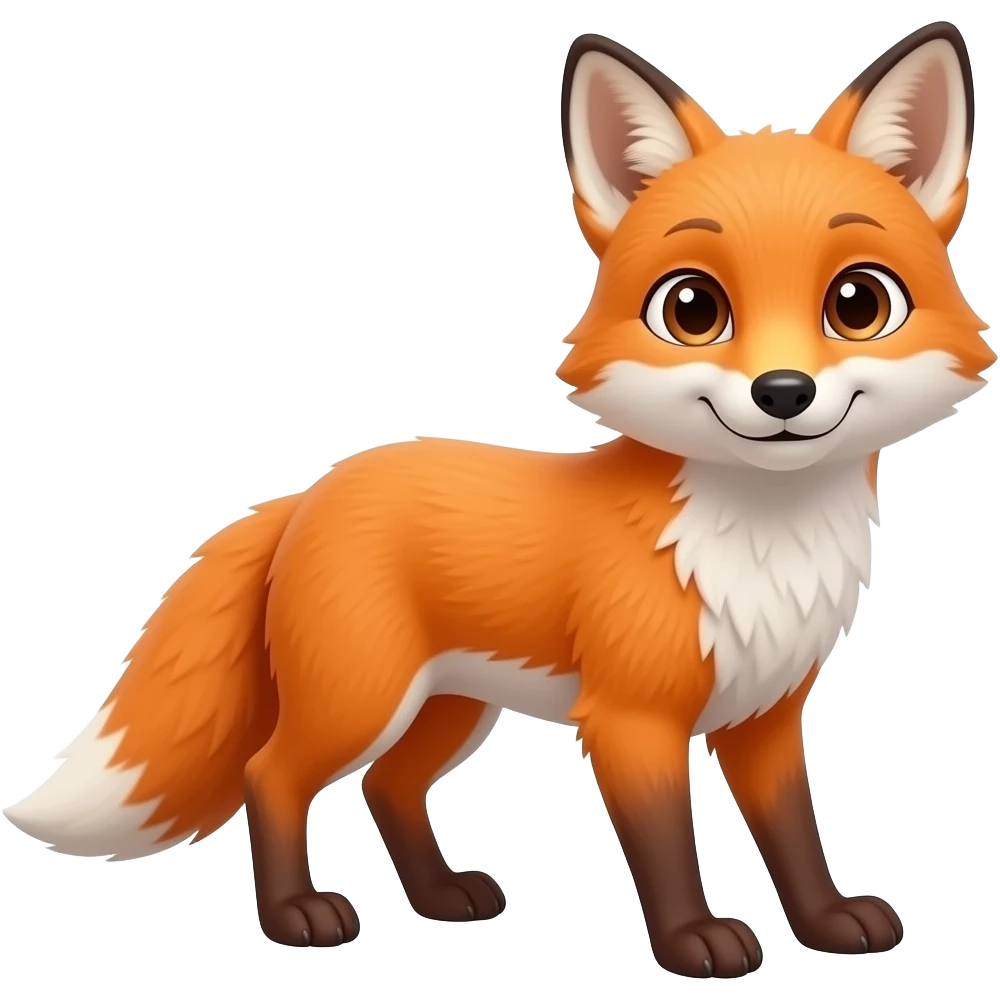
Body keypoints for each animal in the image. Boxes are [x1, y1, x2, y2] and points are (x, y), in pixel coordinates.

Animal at [3, 23, 993, 978]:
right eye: (692, 310)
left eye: (857, 303)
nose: (783, 392)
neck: (760, 545)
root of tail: (312, 489)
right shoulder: (631, 720)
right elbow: (666, 847)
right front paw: (692, 943)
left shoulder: (766, 715)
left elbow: (794, 838)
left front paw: (826, 924)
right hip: (361, 696)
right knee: (271, 775)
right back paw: (295, 918)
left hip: (449, 704)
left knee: (389, 787)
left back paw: (442, 899)